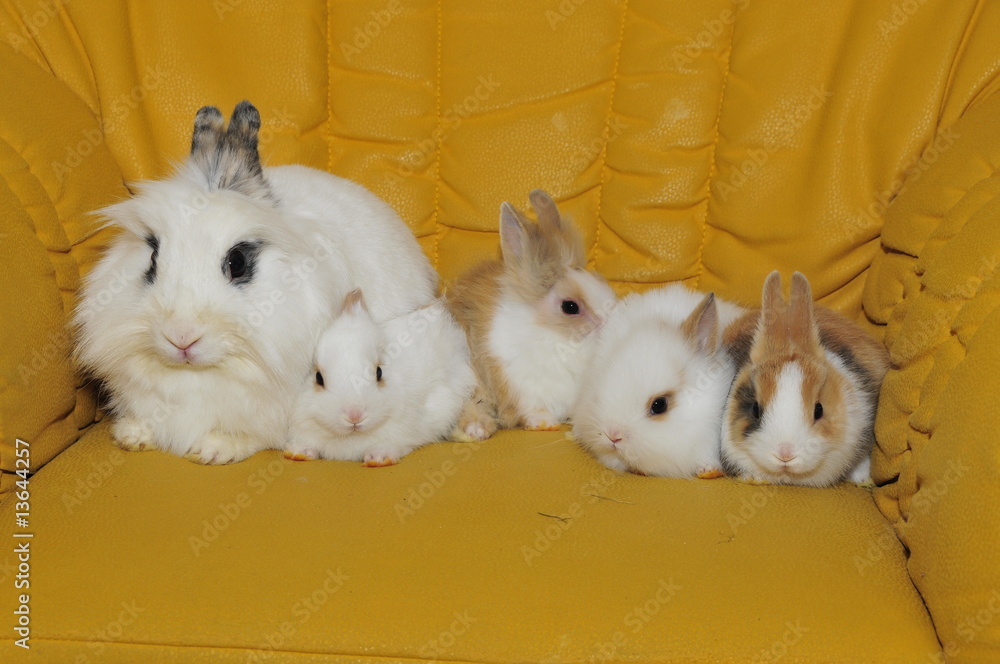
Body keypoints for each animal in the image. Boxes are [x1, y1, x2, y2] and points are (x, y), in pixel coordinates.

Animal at [446, 190, 617, 439]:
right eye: (570, 307)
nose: (611, 321)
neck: (549, 333)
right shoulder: (523, 387)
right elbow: (533, 408)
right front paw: (545, 423)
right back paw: (478, 430)